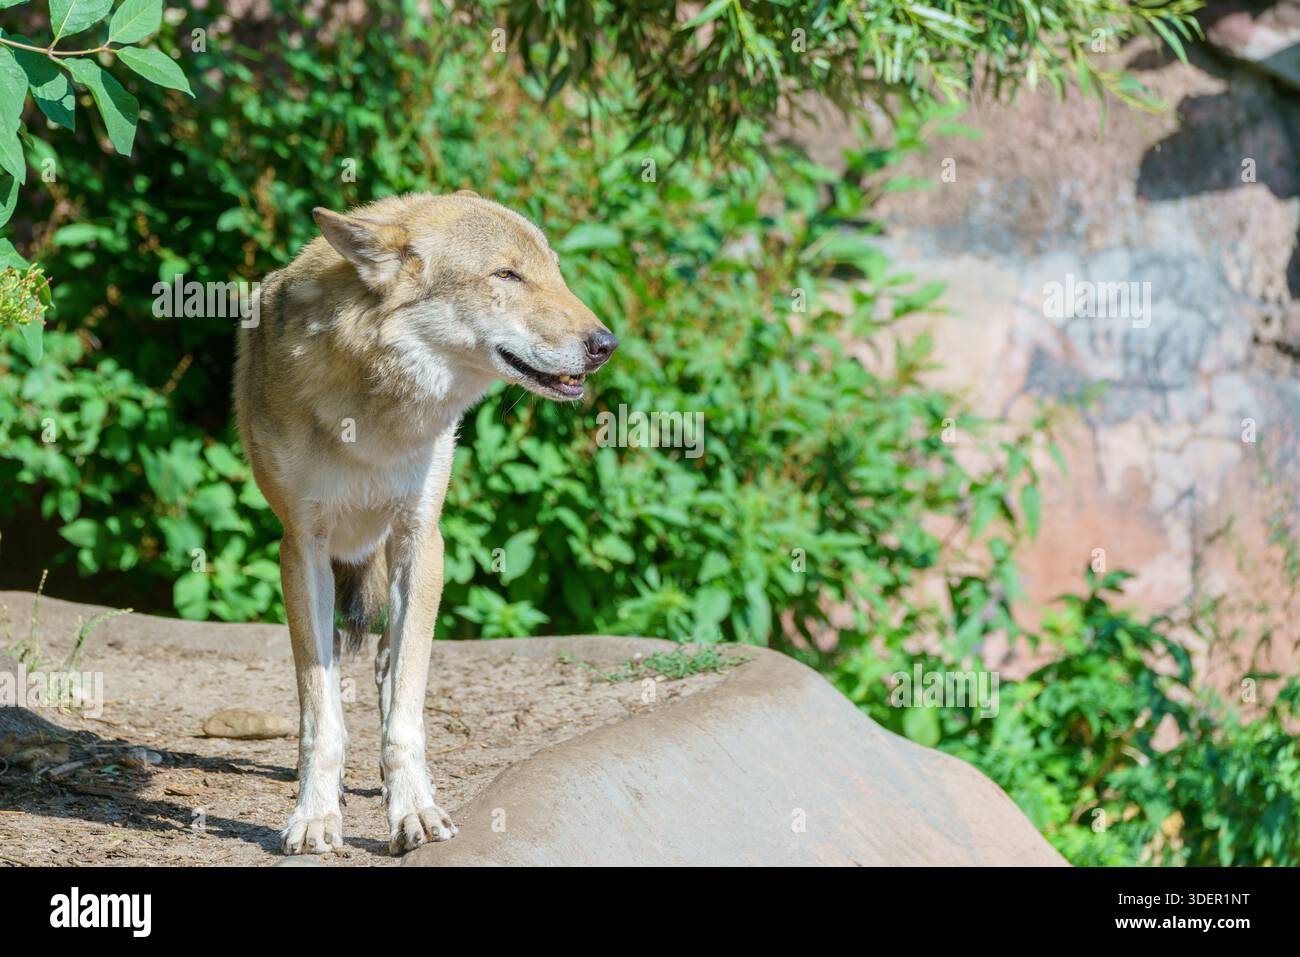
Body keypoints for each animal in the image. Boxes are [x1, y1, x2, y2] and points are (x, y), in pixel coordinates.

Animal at [233, 191, 617, 854]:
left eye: (554, 272)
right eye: (506, 275)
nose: (605, 343)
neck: (374, 415)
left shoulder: (420, 538)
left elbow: (405, 713)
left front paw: (412, 810)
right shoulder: (301, 547)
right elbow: (320, 714)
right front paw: (315, 816)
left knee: (390, 668)